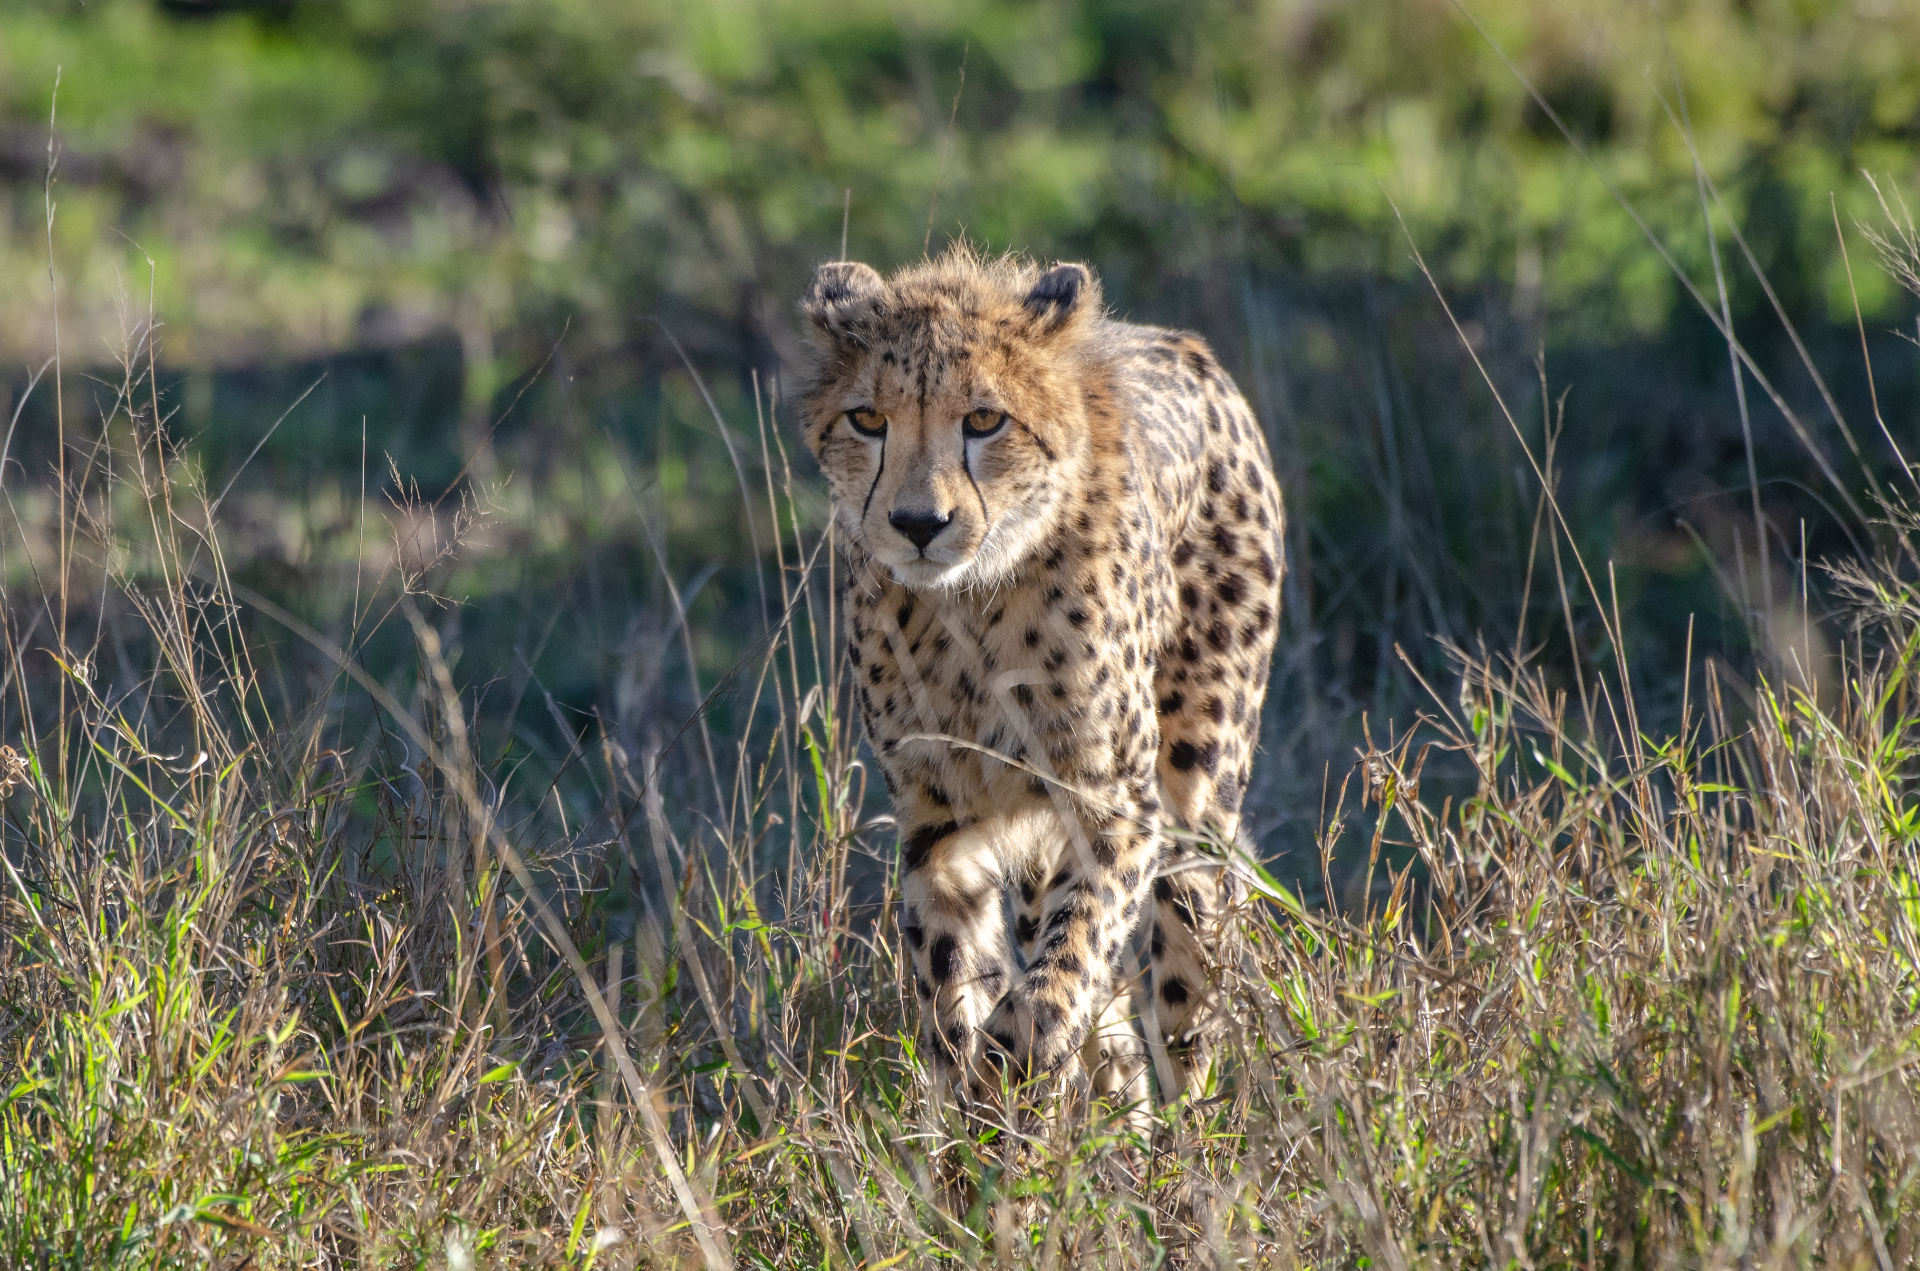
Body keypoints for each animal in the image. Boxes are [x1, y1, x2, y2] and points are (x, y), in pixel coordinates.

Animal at [797, 247, 1285, 1118]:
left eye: (985, 420)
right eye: (867, 420)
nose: (918, 524)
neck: (968, 601)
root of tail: (1185, 345)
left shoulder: (1116, 807)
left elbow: (1057, 980)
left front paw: (1013, 1074)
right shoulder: (939, 823)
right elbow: (955, 990)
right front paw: (977, 1125)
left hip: (1194, 802)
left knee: (1183, 992)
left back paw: (1181, 1141)